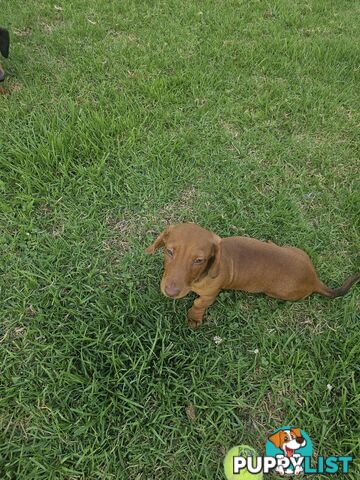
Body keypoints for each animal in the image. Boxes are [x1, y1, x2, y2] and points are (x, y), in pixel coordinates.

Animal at [145, 223, 358, 328]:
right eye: (169, 251)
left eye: (199, 260)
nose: (170, 292)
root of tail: (314, 279)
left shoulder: (210, 295)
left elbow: (198, 304)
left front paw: (194, 318)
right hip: (297, 251)